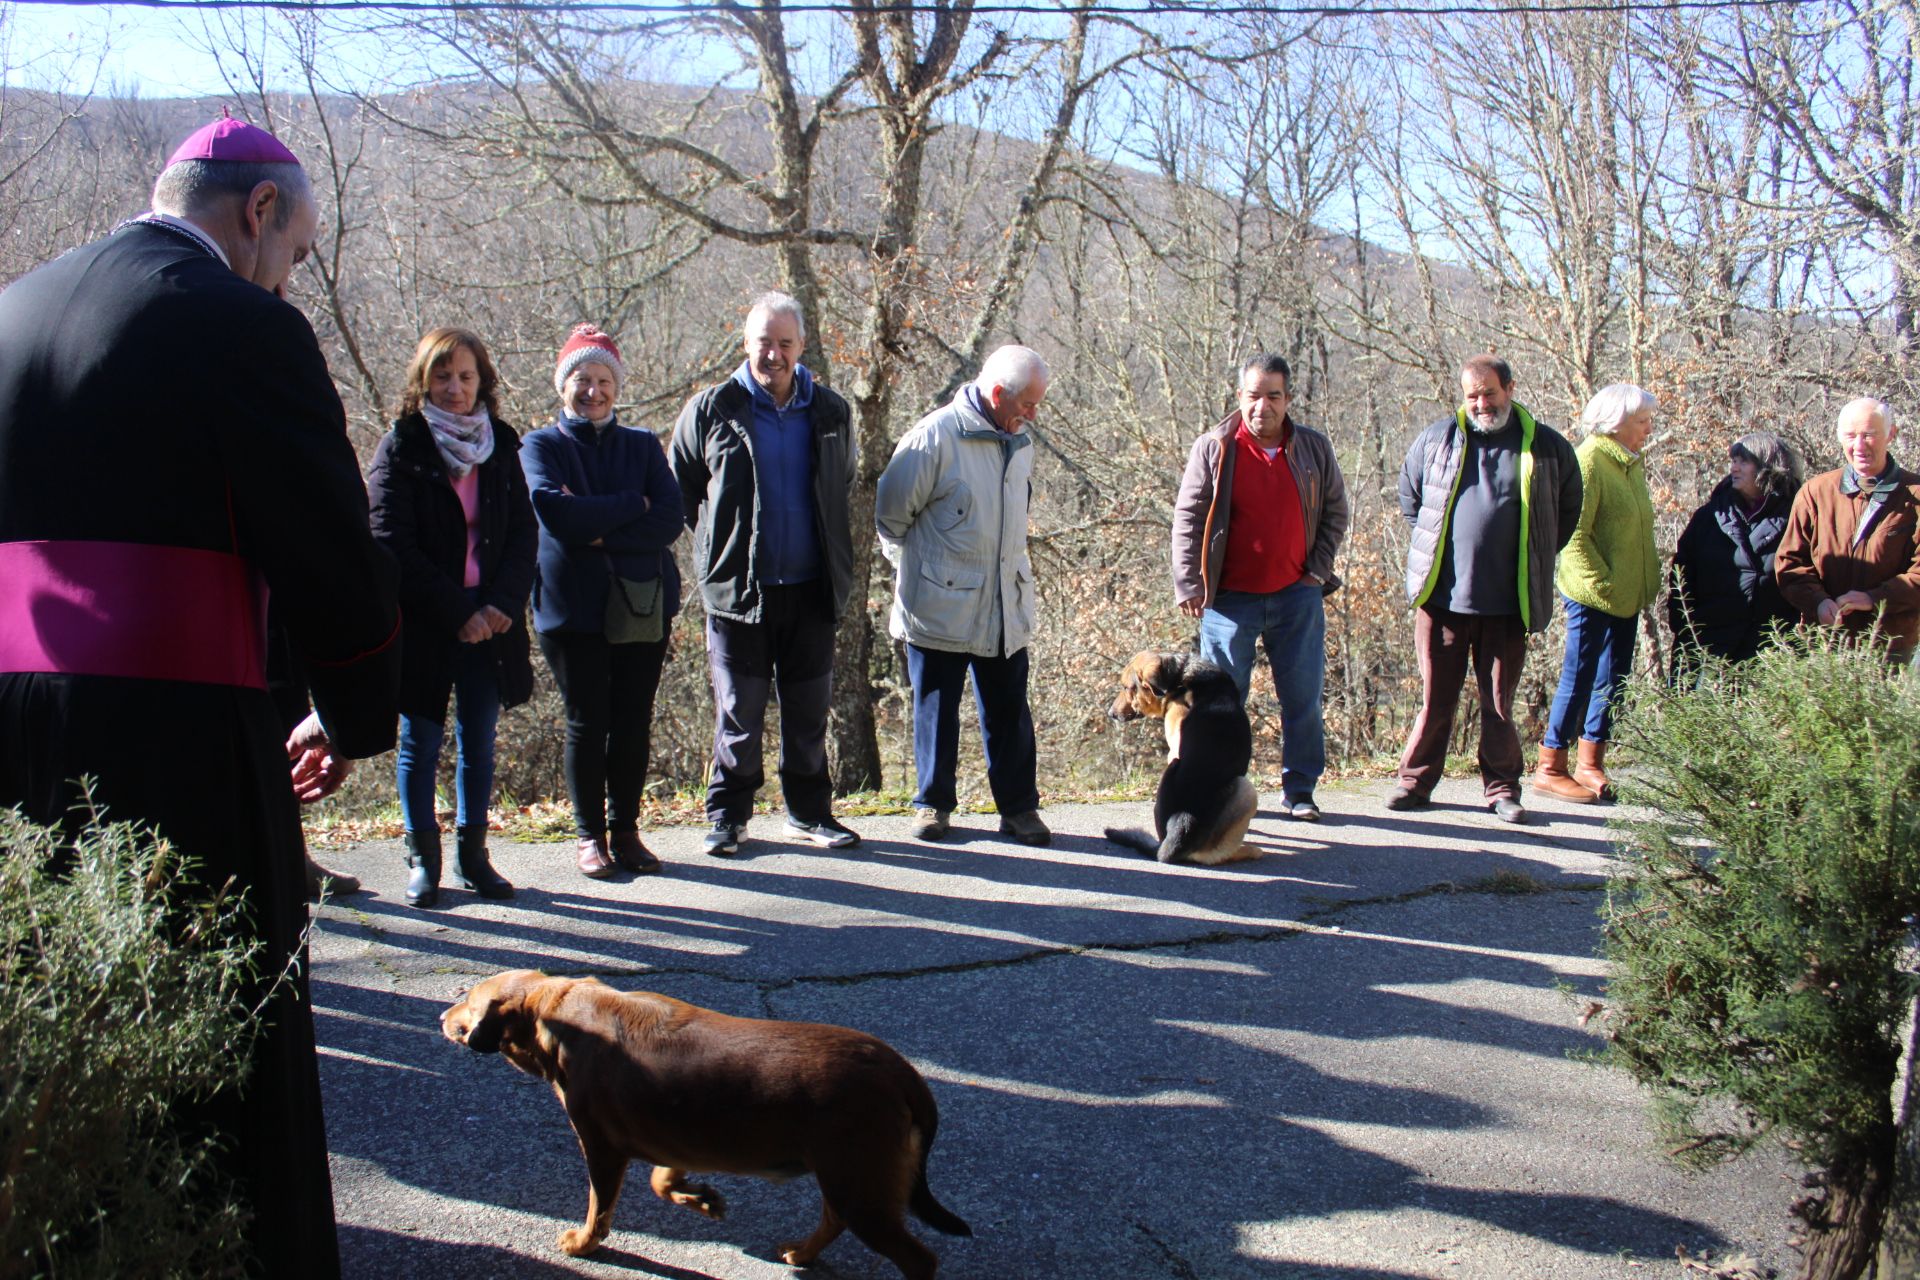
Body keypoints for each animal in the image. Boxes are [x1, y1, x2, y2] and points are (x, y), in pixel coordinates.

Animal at [439, 971, 967, 1280]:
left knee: (918, 1259)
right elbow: (662, 1181)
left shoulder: (602, 1149)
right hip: (847, 1179)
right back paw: (801, 1253)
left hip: (859, 1186)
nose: (442, 1014)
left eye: (467, 998)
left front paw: (583, 1243)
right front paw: (700, 1197)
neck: (561, 1011)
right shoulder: (674, 1140)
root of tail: (902, 1074)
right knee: (833, 1220)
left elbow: (598, 1210)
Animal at [1105, 652, 1267, 871]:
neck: (1179, 678)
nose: (1111, 714)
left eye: (1126, 687)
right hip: (1246, 788)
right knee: (1221, 854)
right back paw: (1249, 850)